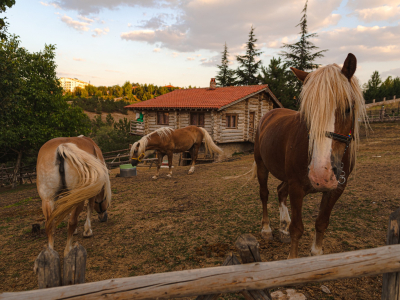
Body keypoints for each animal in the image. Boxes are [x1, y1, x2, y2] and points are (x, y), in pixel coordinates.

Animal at [239, 53, 368, 258]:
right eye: (307, 113)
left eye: (348, 108)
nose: (321, 174)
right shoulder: (297, 188)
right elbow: (297, 229)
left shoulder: (336, 189)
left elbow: (321, 223)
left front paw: (315, 251)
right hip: (262, 166)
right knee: (265, 194)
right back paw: (267, 229)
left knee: (280, 191)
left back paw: (283, 227)